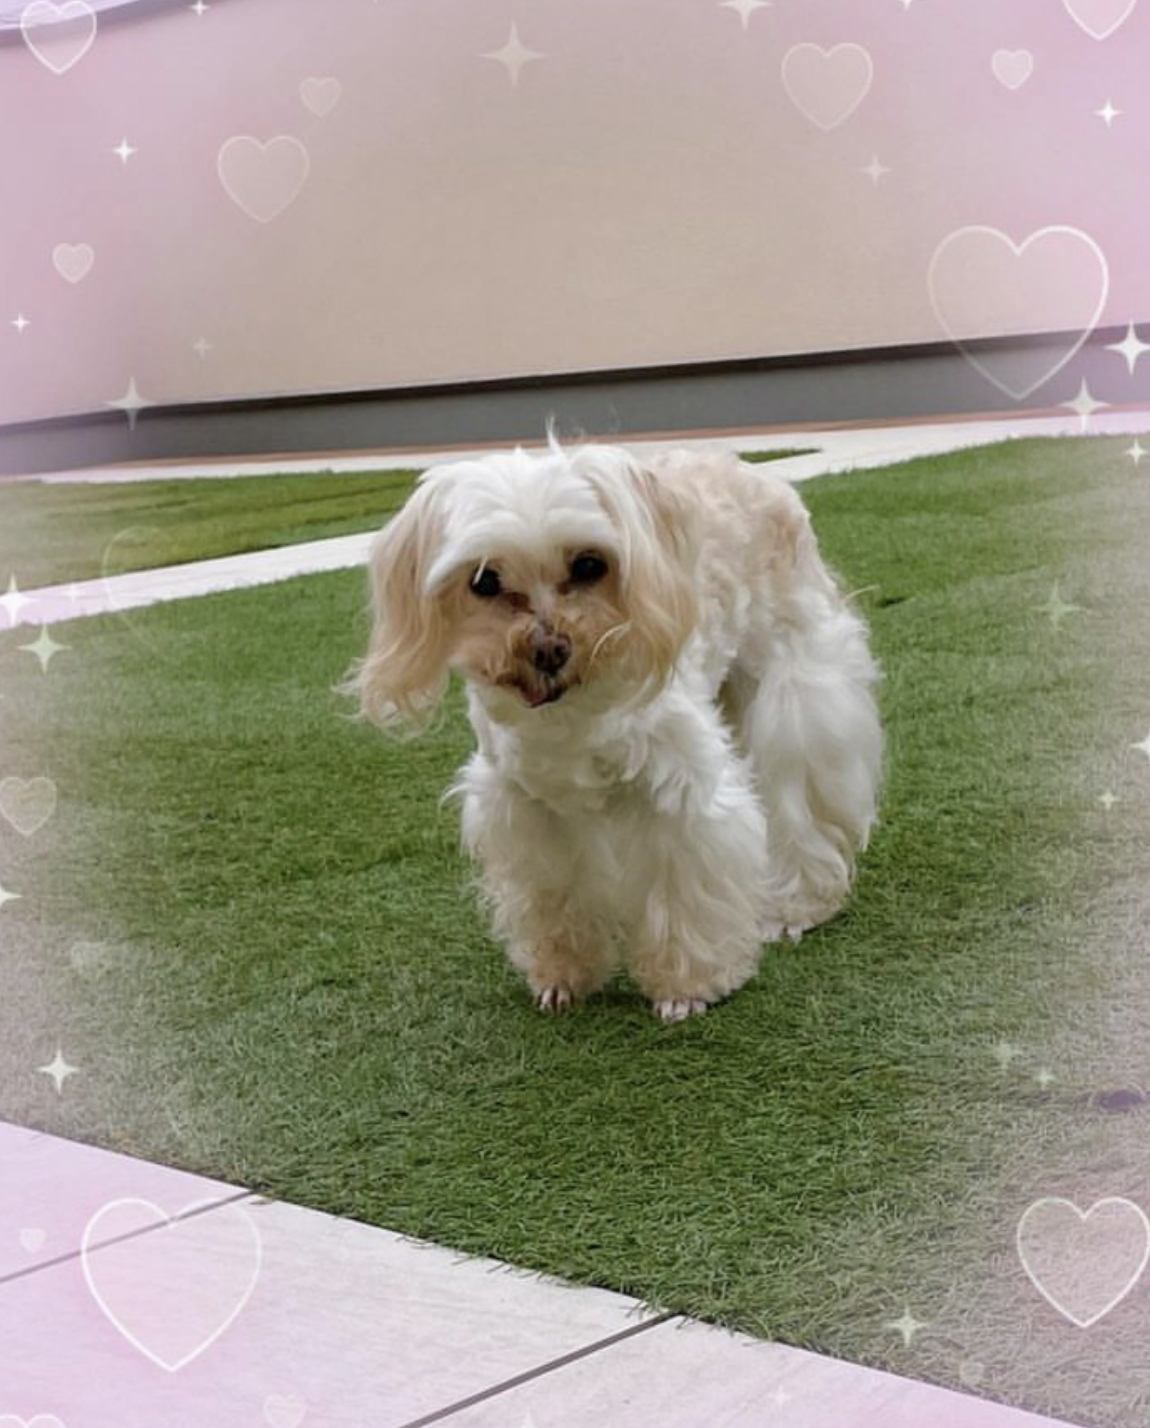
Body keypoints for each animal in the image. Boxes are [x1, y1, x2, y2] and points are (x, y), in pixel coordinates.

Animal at [346, 439, 882, 1021]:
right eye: (483, 581)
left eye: (588, 564)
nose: (547, 649)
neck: (571, 716)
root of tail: (744, 467)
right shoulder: (525, 808)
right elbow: (554, 896)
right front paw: (562, 978)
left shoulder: (682, 790)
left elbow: (686, 888)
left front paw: (688, 988)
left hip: (792, 695)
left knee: (799, 801)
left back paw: (795, 905)